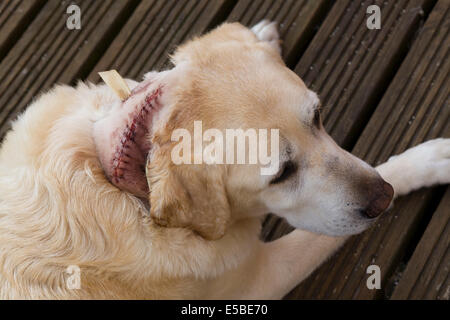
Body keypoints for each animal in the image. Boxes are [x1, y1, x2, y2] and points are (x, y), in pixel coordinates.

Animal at [0, 21, 448, 298]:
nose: (382, 199)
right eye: (281, 174)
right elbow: (323, 232)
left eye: (318, 116)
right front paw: (429, 160)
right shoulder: (260, 277)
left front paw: (260, 35)